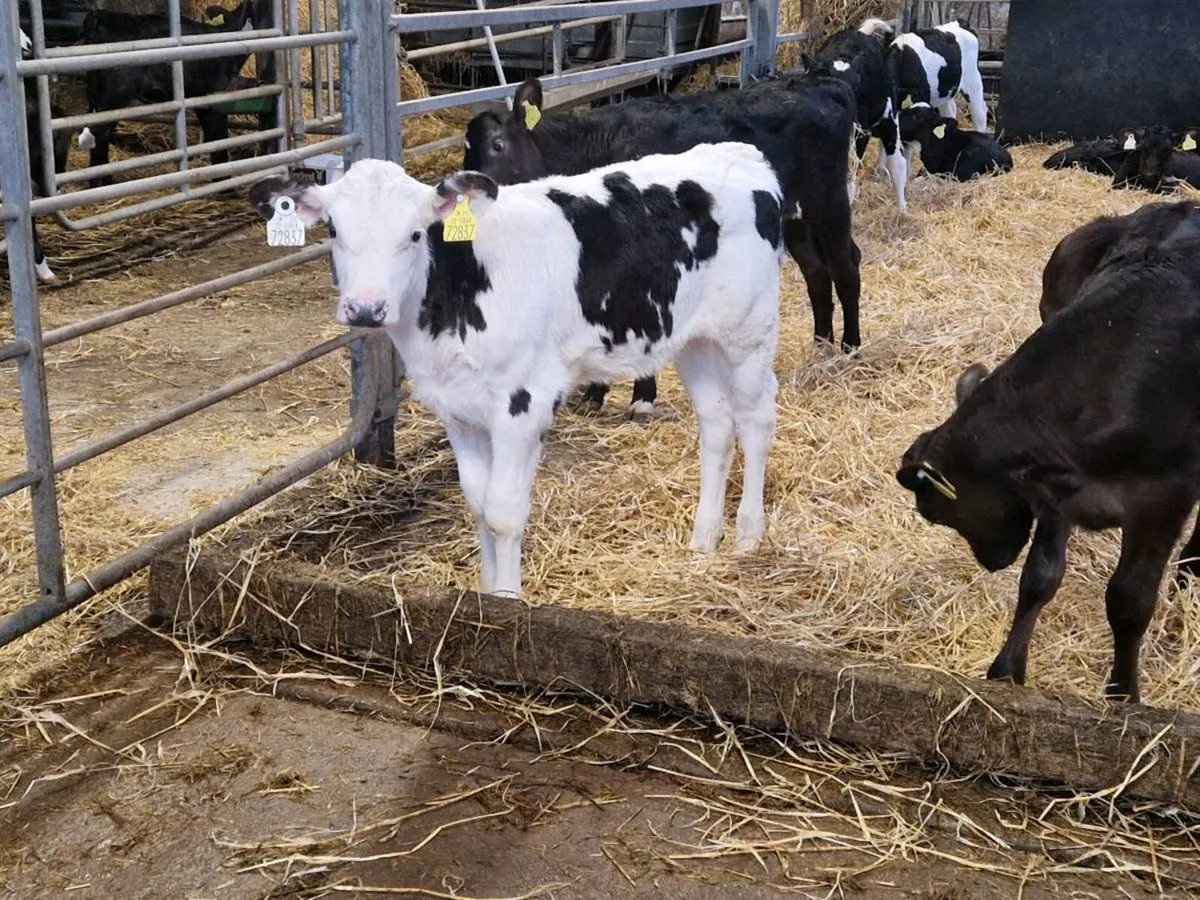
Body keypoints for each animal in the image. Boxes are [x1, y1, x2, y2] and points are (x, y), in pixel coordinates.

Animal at [77, 0, 266, 186]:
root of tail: (100, 15)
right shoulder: (216, 97)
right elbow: (218, 138)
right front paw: (224, 183)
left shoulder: (201, 100)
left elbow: (212, 138)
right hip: (115, 95)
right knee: (99, 134)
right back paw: (100, 184)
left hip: (96, 94)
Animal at [248, 144, 784, 600]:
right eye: (335, 232)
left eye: (416, 234)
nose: (365, 308)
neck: (462, 283)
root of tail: (740, 154)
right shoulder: (458, 411)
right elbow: (479, 505)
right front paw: (487, 593)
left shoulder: (523, 401)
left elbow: (504, 512)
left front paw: (507, 603)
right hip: (695, 340)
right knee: (717, 424)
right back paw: (703, 542)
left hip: (749, 334)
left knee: (756, 420)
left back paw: (748, 537)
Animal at [462, 73, 857, 418]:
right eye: (465, 154)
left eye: (498, 145)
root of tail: (819, 84)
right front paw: (596, 393)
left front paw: (641, 398)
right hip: (794, 216)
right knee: (816, 272)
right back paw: (821, 345)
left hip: (829, 202)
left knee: (846, 266)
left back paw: (850, 346)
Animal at [897, 235, 1200, 705]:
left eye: (935, 514)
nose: (991, 563)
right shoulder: (1056, 493)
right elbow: (1039, 577)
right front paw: (1006, 672)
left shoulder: (1164, 497)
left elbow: (1129, 599)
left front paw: (1123, 696)